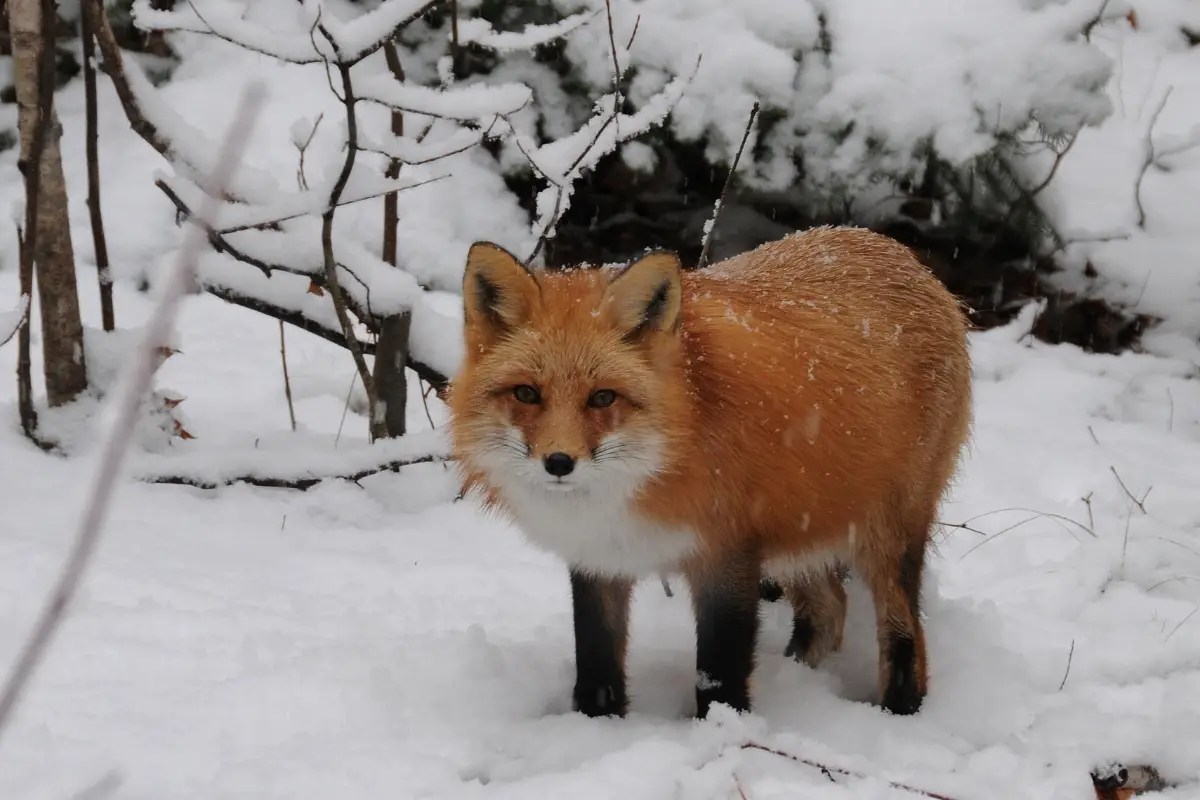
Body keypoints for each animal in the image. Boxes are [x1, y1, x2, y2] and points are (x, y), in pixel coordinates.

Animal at [448, 226, 972, 720]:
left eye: (602, 398)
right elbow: (597, 664)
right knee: (829, 611)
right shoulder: (599, 558)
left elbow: (719, 671)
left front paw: (722, 729)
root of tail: (898, 252)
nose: (558, 462)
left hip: (885, 537)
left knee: (905, 634)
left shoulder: (727, 553)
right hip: (801, 534)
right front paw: (596, 727)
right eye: (526, 394)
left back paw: (899, 710)